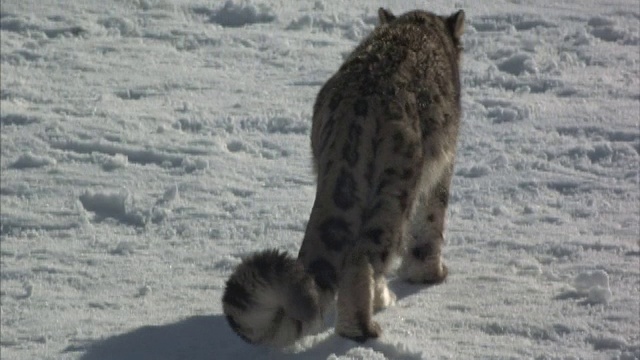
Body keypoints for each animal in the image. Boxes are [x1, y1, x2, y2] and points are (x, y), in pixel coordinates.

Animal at [224, 7, 464, 346]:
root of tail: (359, 106)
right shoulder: (443, 166)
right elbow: (431, 224)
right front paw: (430, 274)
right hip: (396, 189)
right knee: (363, 257)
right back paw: (362, 328)